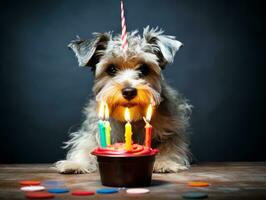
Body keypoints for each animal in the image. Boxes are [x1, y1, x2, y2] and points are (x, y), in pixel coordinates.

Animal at [55, 26, 191, 173]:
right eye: (111, 69)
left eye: (144, 68)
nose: (129, 91)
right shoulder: (93, 129)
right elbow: (85, 144)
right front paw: (76, 163)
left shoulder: (171, 129)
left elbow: (171, 146)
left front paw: (165, 161)